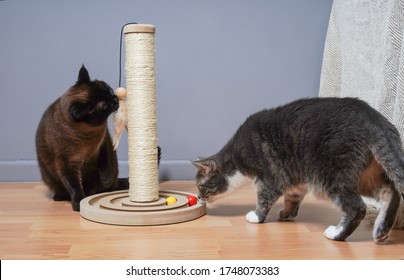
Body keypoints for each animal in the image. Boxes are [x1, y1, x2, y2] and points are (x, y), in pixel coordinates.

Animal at [35, 65, 160, 210]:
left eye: (109, 90)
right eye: (105, 106)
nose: (115, 99)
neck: (89, 136)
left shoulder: (103, 143)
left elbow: (105, 163)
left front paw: (106, 179)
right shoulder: (67, 163)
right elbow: (74, 186)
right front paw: (79, 203)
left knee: (102, 186)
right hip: (50, 177)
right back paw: (60, 196)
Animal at [192, 98, 404, 243]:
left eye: (201, 186)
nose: (199, 197)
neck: (236, 158)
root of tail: (374, 118)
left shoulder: (269, 177)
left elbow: (264, 198)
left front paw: (256, 217)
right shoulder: (295, 180)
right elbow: (292, 198)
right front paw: (287, 214)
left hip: (333, 173)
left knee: (357, 207)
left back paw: (336, 234)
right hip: (365, 175)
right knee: (390, 191)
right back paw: (381, 231)